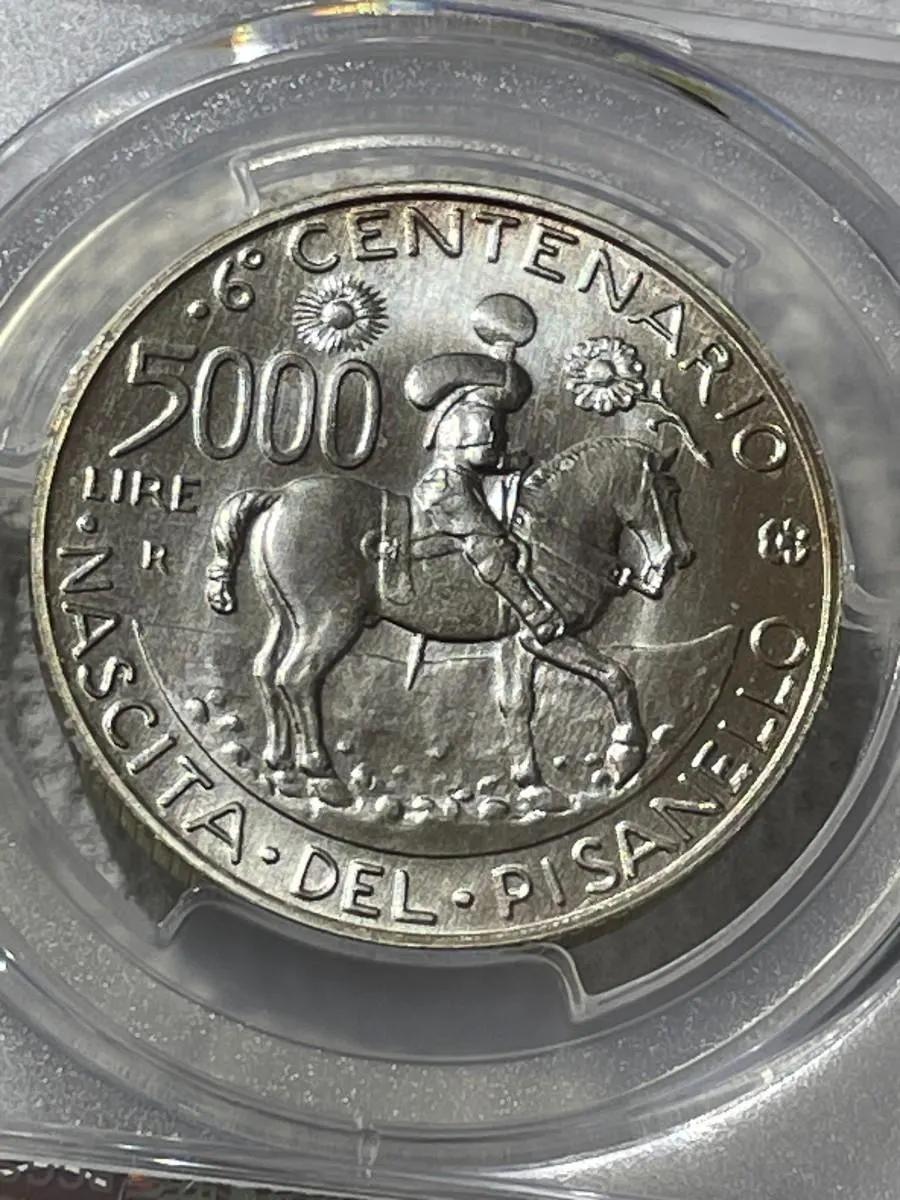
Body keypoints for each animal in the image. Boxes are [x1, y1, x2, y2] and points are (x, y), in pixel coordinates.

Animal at [204, 436, 693, 807]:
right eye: (669, 492)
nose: (680, 558)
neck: (555, 527)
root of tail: (280, 496)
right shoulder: (546, 638)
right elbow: (615, 675)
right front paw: (624, 756)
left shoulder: (514, 644)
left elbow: (518, 704)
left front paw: (532, 786)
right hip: (328, 622)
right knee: (297, 679)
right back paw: (322, 776)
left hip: (285, 620)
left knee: (265, 672)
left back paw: (281, 767)